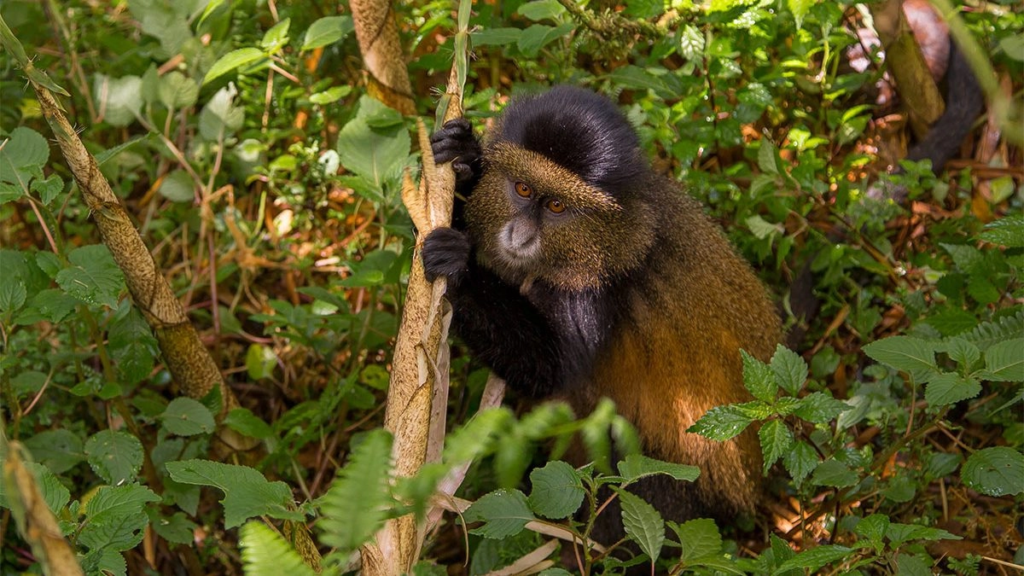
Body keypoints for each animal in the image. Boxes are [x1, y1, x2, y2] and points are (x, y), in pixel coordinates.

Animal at [421, 86, 783, 548]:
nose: (519, 235)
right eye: (522, 188)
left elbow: (551, 371)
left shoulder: (592, 290)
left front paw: (460, 266)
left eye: (557, 205)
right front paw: (465, 155)